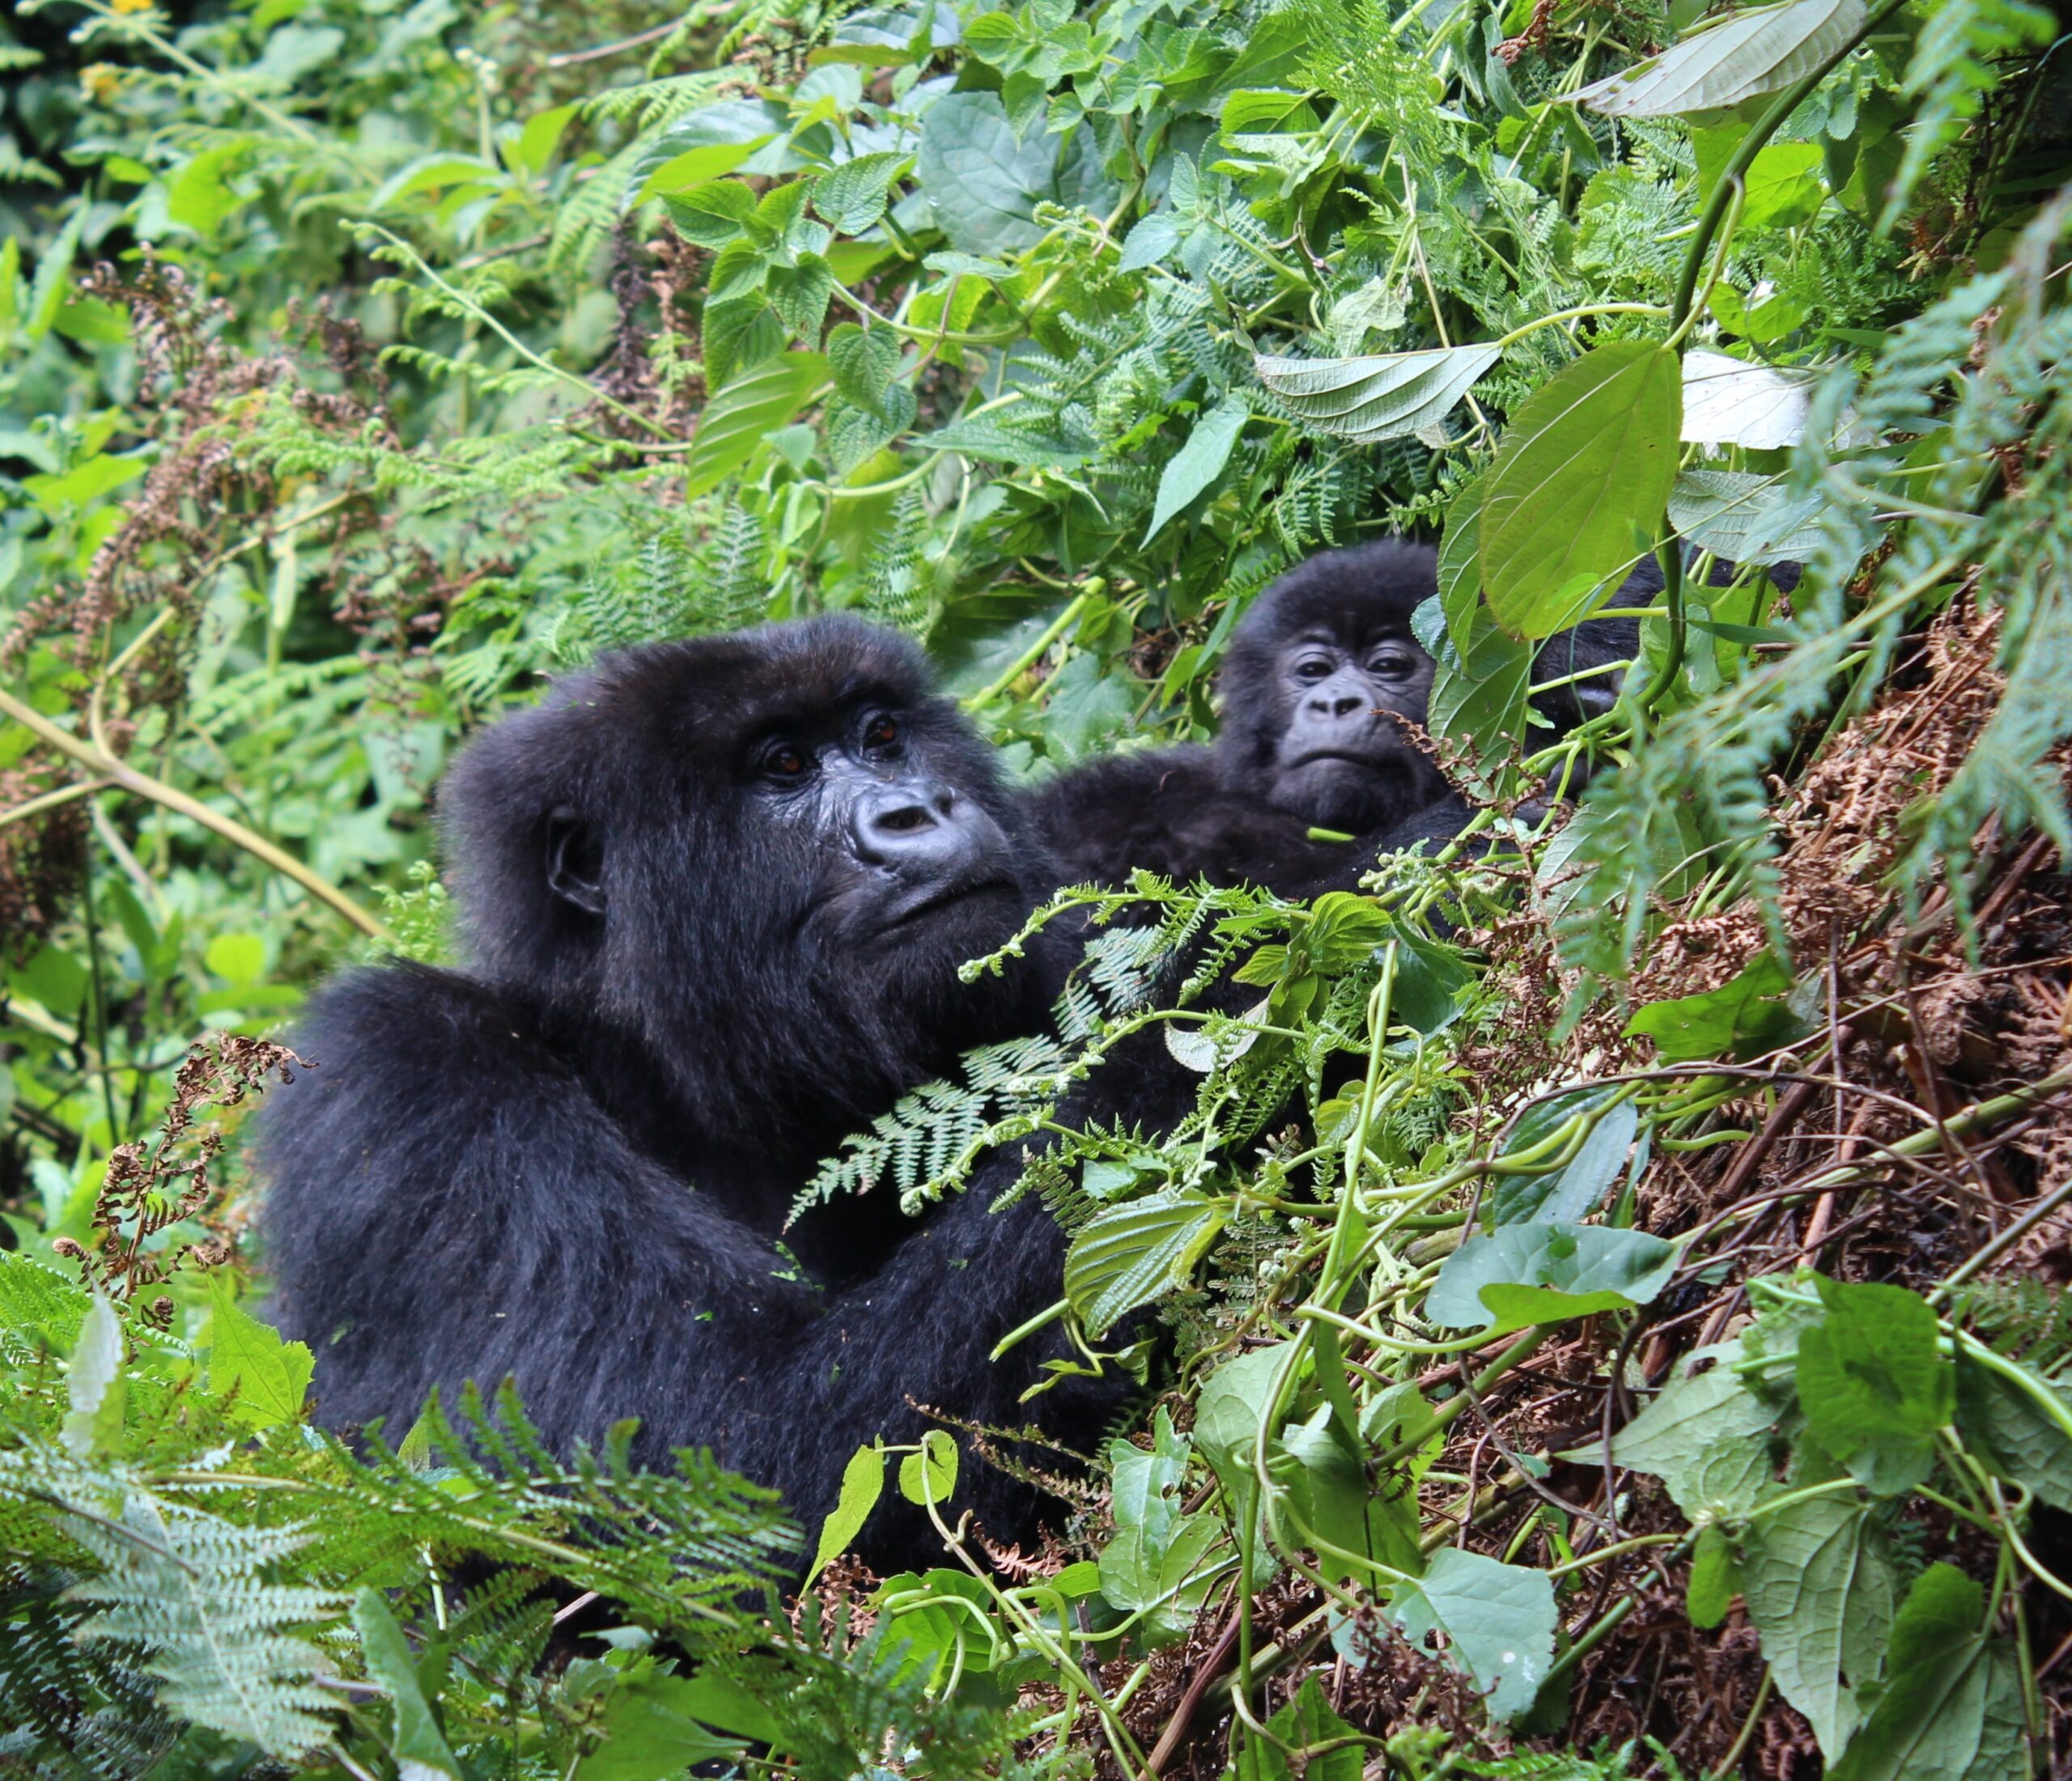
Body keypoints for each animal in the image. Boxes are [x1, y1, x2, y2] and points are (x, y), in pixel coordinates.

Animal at [259, 617, 1085, 1565]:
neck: (656, 1064)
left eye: (881, 734)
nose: (919, 809)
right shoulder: (402, 1080)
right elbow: (739, 1464)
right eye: (784, 764)